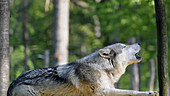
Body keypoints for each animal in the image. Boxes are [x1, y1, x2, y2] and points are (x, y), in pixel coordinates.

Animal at [6, 43, 158, 95]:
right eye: (125, 46)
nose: (139, 42)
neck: (102, 68)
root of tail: (12, 83)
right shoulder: (103, 92)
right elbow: (132, 91)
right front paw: (150, 92)